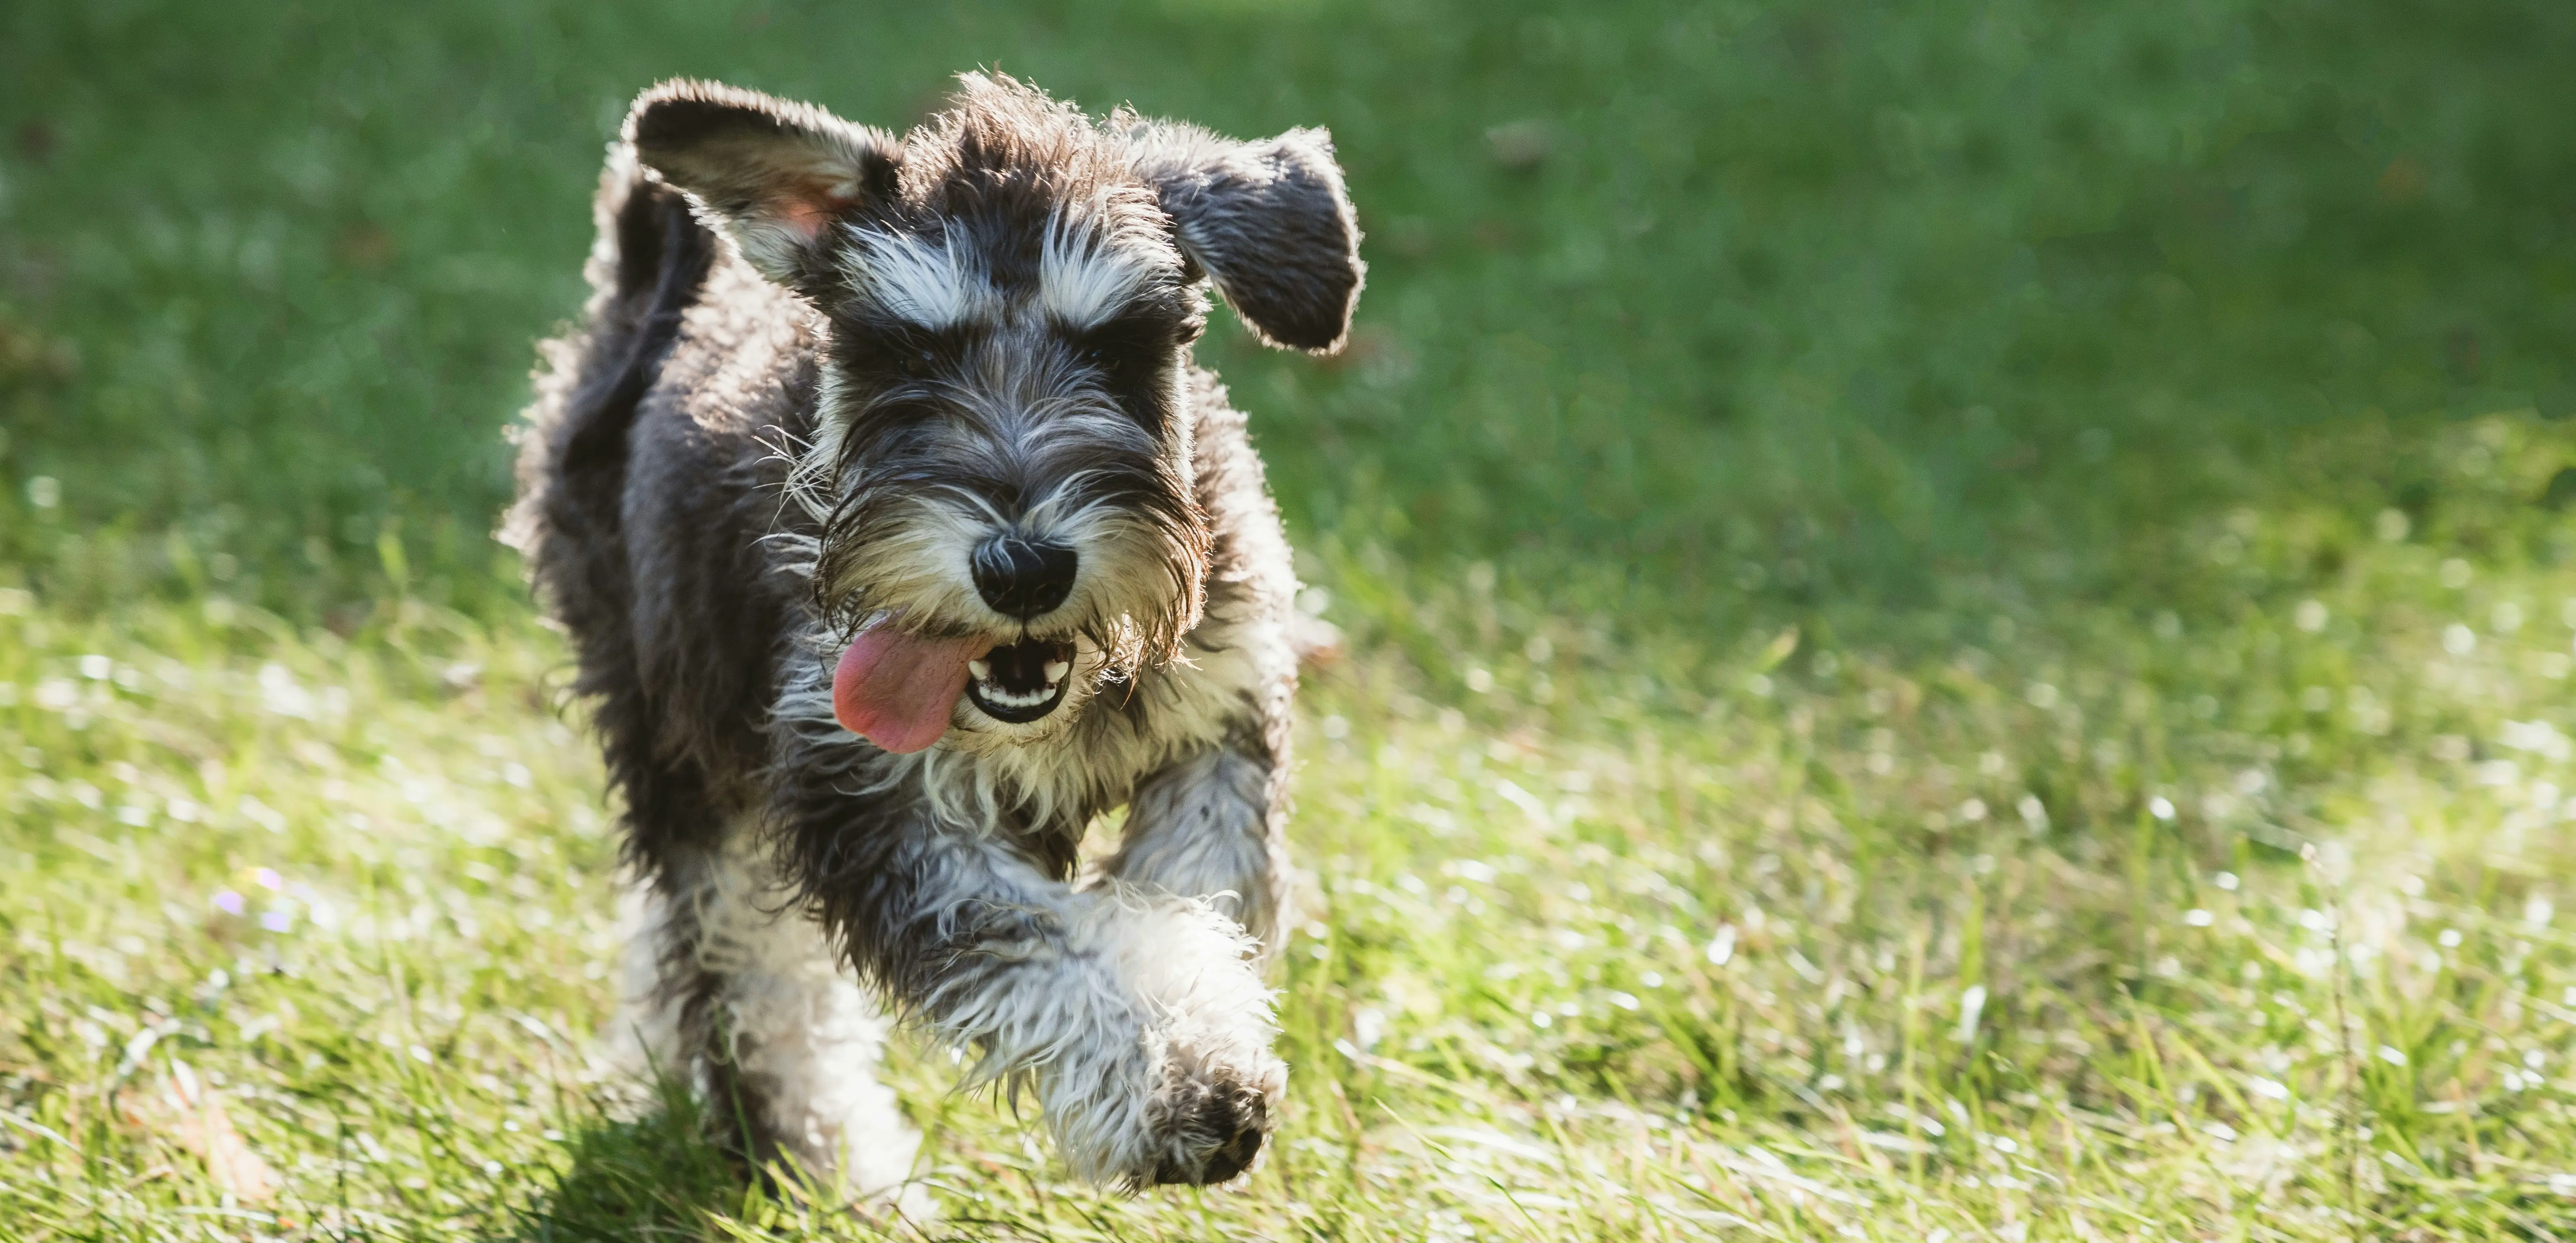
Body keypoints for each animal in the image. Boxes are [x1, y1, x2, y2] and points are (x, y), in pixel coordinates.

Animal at [492, 75, 1360, 1199]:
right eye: (907, 354)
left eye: (1118, 347)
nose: (1023, 567)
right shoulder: (874, 801)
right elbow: (1030, 936)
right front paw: (1177, 1081)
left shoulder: (1218, 727)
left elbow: (1189, 897)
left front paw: (1200, 1036)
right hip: (683, 741)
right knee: (741, 971)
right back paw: (814, 1150)